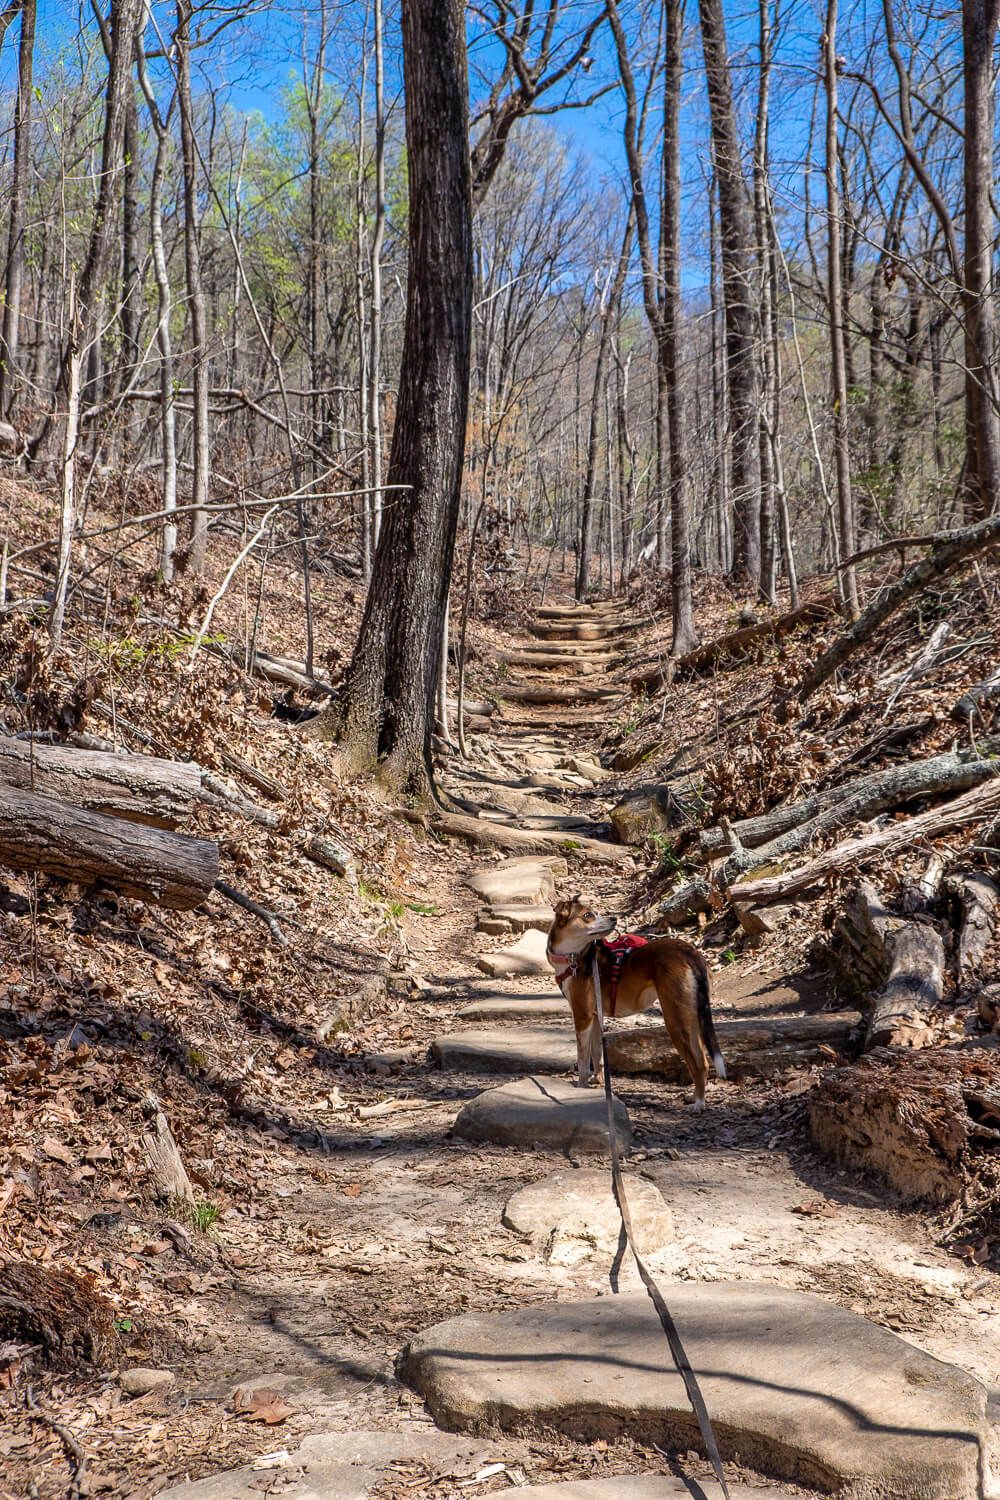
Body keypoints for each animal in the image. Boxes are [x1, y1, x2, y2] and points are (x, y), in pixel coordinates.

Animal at [548, 894, 728, 1110]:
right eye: (588, 915)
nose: (614, 919)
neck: (574, 957)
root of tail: (689, 952)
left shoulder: (582, 1016)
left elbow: (583, 1059)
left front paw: (581, 1087)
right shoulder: (595, 1016)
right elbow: (597, 1054)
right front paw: (598, 1081)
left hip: (675, 1020)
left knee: (697, 1062)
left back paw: (699, 1104)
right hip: (690, 1016)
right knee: (703, 1061)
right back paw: (694, 1097)